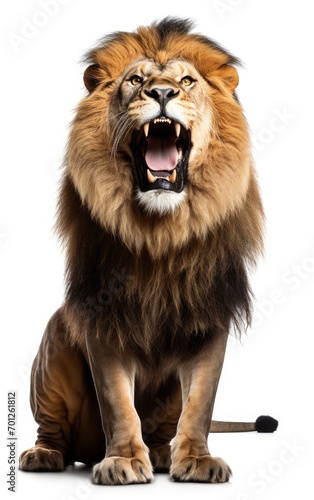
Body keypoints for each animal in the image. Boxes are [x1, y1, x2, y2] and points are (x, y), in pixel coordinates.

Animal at [19, 17, 278, 482]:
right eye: (136, 81)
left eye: (187, 81)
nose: (161, 94)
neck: (162, 233)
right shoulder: (102, 317)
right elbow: (118, 402)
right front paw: (123, 460)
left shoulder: (210, 319)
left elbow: (201, 403)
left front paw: (197, 461)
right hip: (55, 346)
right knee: (52, 429)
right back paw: (45, 455)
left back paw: (159, 452)